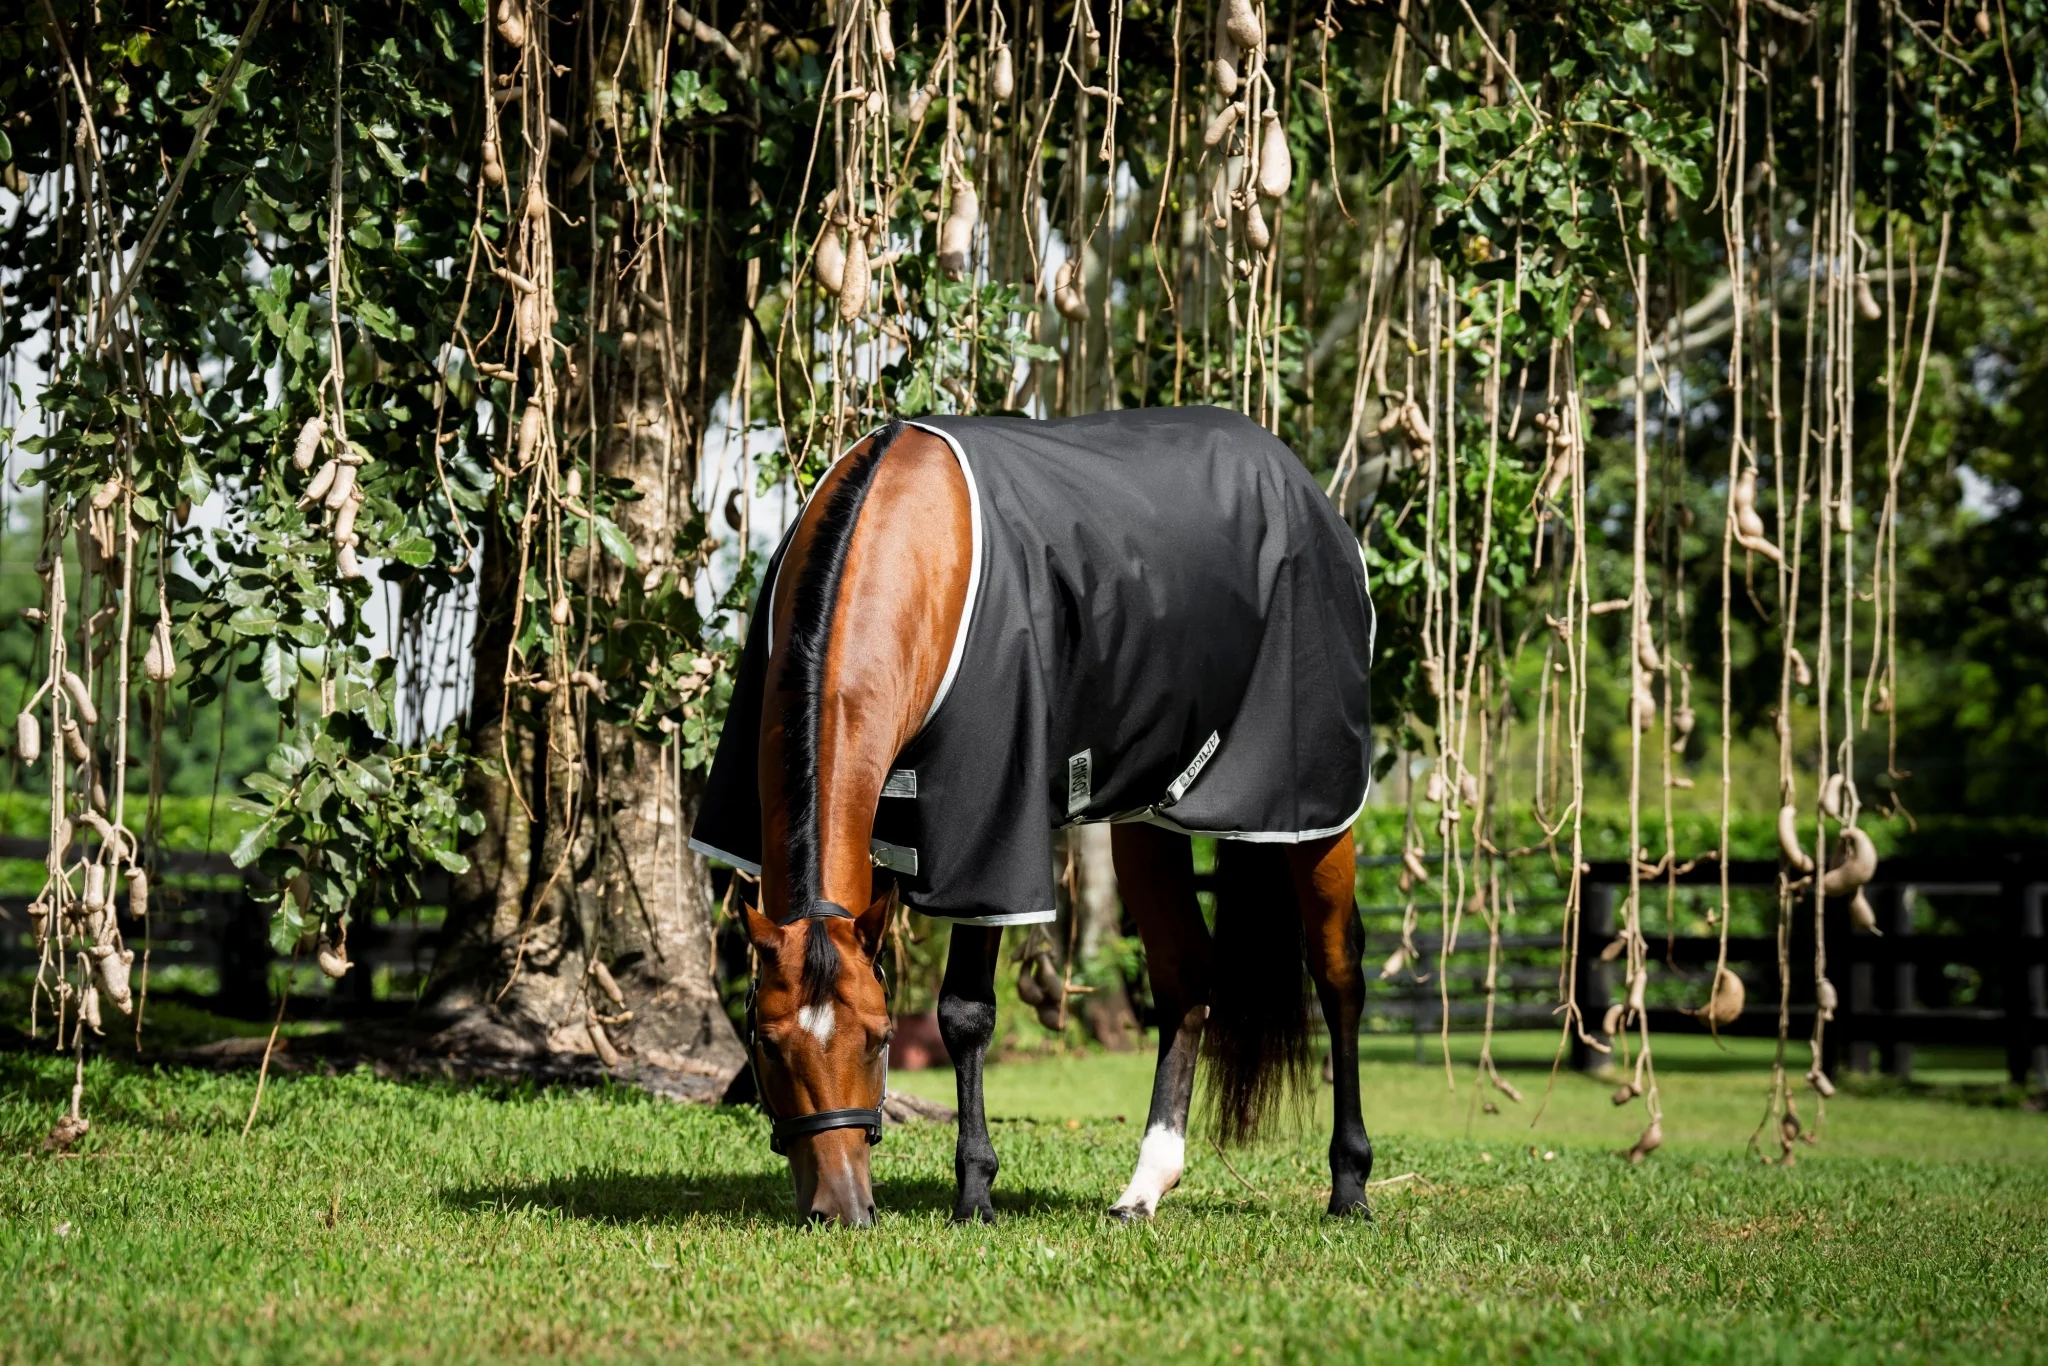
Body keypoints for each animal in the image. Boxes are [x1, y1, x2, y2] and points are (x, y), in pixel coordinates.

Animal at [691, 408, 1377, 1227]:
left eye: (881, 1039)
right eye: (765, 1043)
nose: (843, 1208)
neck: (912, 544)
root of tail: (1299, 481)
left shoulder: (988, 829)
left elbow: (966, 1012)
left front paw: (975, 1193)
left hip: (1313, 806)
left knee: (1337, 971)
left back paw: (1349, 1185)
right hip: (1146, 815)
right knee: (1185, 976)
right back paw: (1145, 1187)